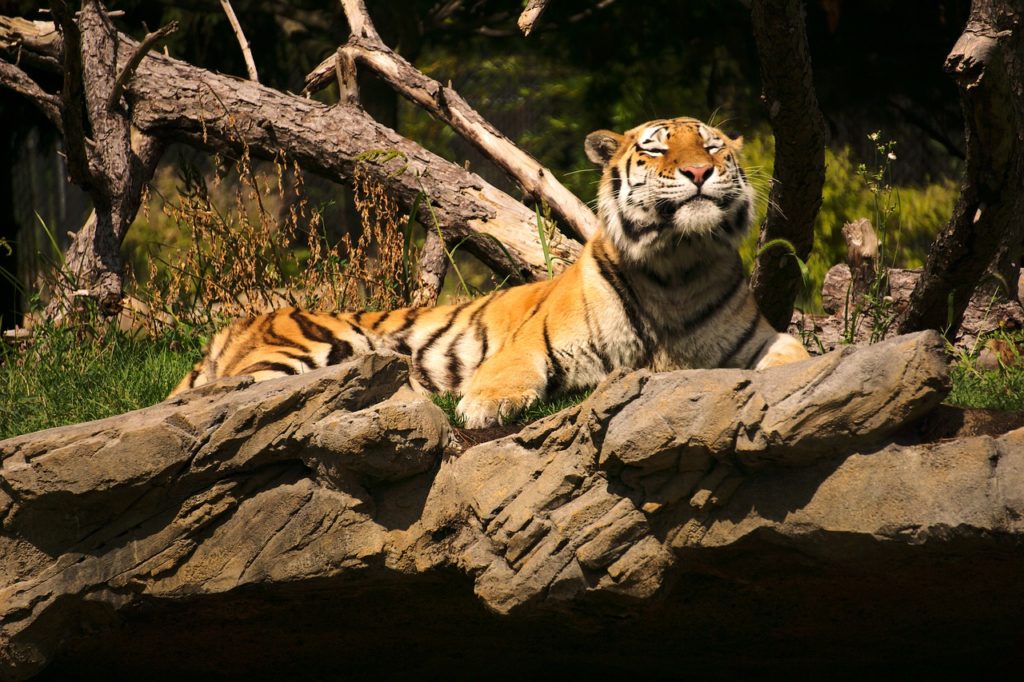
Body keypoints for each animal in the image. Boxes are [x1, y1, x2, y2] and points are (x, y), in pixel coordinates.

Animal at [169, 116, 809, 427]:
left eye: (714, 147)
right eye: (656, 150)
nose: (700, 171)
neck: (678, 264)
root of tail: (244, 322)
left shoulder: (757, 338)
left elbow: (798, 356)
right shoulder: (536, 340)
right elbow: (507, 370)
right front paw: (479, 407)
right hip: (312, 349)